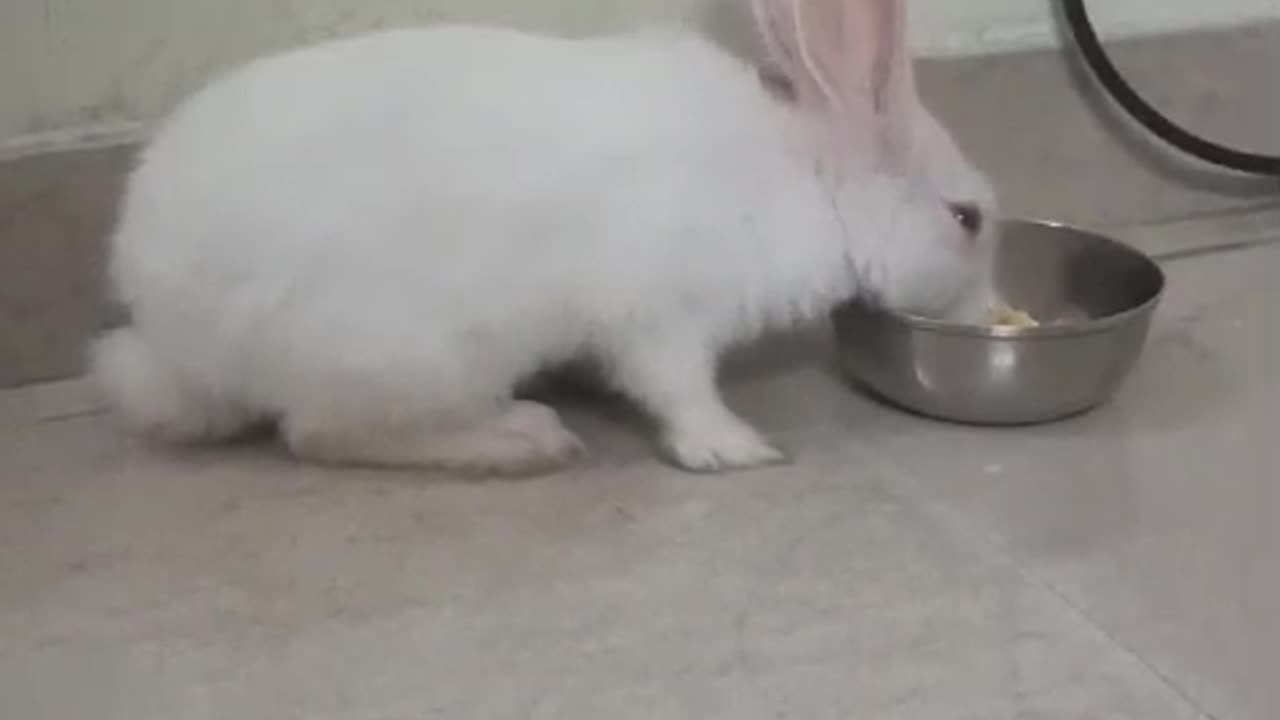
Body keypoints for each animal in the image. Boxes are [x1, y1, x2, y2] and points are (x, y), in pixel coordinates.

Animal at [94, 1, 998, 476]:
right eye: (967, 219)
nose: (989, 309)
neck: (808, 180)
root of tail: (176, 347)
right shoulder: (663, 317)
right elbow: (678, 389)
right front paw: (737, 449)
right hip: (420, 354)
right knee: (324, 434)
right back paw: (523, 438)